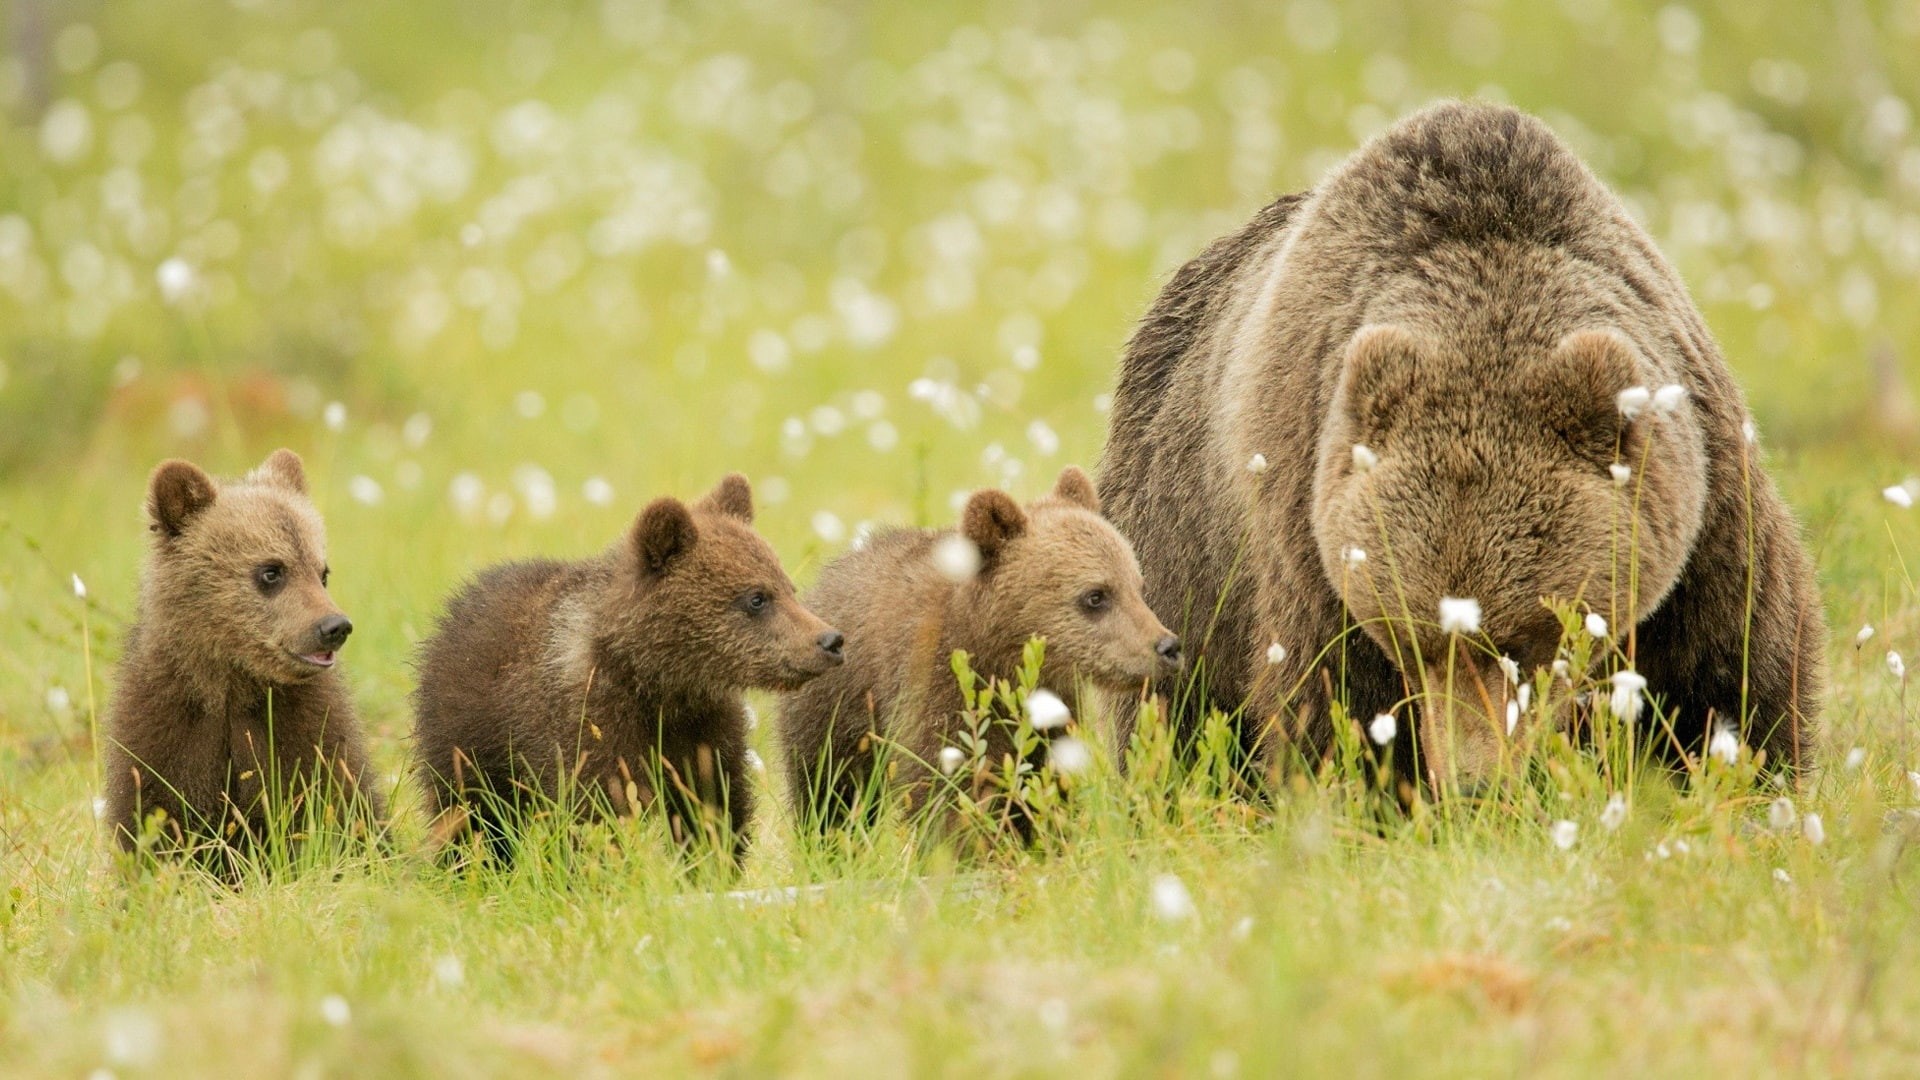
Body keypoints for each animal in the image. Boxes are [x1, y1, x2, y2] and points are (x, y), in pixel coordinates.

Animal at [103, 449, 385, 873]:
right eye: (271, 571)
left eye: (322, 572)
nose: (334, 626)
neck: (232, 686)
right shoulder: (166, 729)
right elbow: (155, 814)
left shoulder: (303, 729)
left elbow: (340, 805)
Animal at [411, 474, 843, 866]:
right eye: (756, 598)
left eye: (788, 588)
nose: (830, 640)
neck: (655, 682)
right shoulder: (590, 724)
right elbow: (596, 812)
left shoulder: (702, 728)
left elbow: (712, 805)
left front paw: (710, 866)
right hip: (469, 737)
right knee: (471, 815)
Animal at [775, 466, 1182, 836]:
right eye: (1096, 595)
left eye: (1137, 586)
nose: (1167, 647)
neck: (998, 656)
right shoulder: (936, 690)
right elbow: (944, 792)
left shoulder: (1051, 714)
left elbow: (1045, 785)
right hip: (835, 712)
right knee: (829, 792)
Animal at [1098, 100, 1825, 793]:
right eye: (1411, 640)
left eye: (1525, 640)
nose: (1476, 781)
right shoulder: (1308, 522)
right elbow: (1330, 698)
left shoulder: (1706, 507)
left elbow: (1730, 669)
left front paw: (1738, 772)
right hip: (1180, 536)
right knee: (1177, 701)